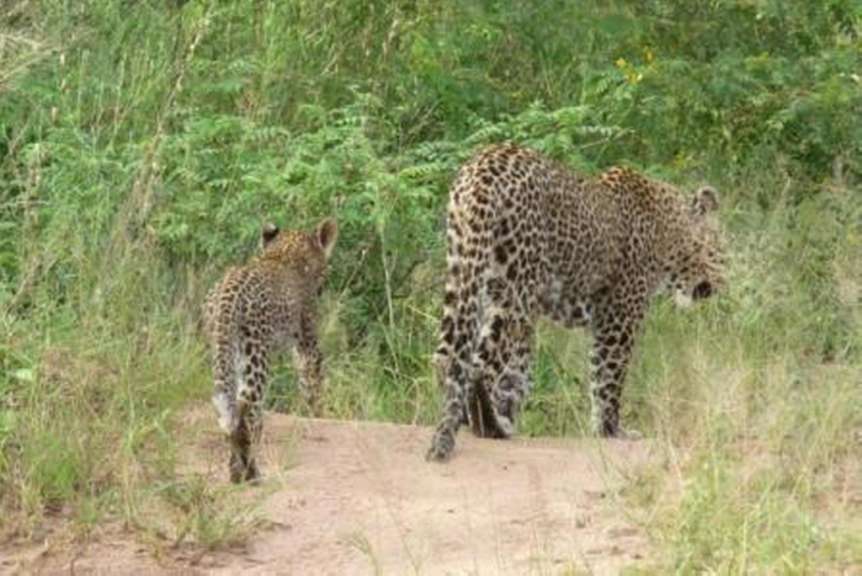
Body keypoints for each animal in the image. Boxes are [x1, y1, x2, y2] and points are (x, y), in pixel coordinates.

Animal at [204, 218, 338, 483]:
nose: (323, 286)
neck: (284, 252)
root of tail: (227, 293)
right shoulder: (308, 342)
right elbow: (313, 384)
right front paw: (319, 414)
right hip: (255, 356)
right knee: (247, 411)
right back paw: (250, 473)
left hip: (223, 355)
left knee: (230, 410)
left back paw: (235, 472)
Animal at [427, 144, 725, 461]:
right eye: (720, 251)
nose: (721, 283)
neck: (668, 231)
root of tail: (482, 168)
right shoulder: (618, 316)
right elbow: (608, 376)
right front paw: (610, 430)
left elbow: (520, 371)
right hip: (515, 289)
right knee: (480, 365)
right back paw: (490, 427)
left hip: (465, 268)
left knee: (447, 357)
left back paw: (464, 424)